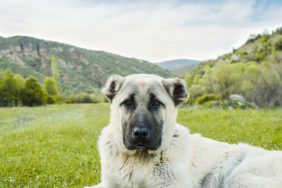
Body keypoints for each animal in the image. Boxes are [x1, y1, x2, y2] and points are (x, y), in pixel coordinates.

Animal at [86, 74, 282, 188]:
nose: (140, 134)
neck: (140, 160)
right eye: (127, 102)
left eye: (156, 103)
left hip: (238, 178)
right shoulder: (109, 184)